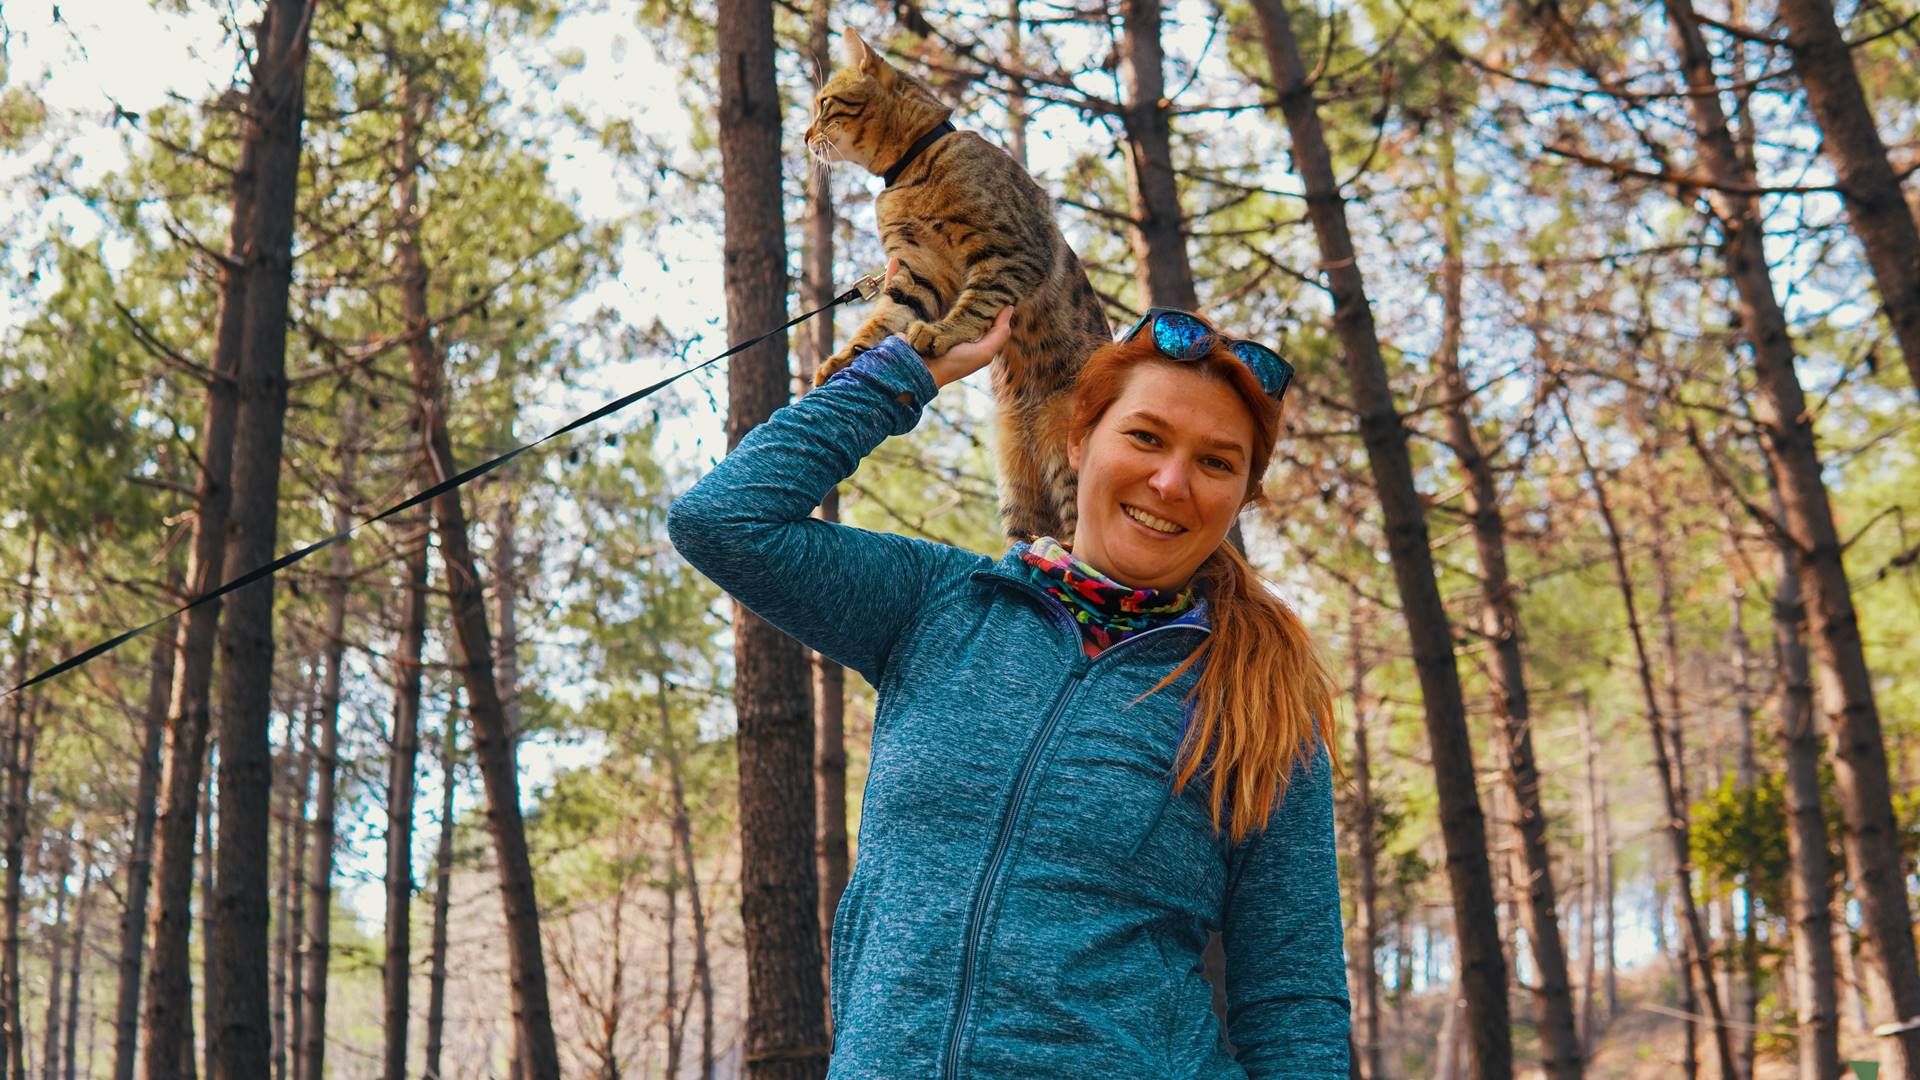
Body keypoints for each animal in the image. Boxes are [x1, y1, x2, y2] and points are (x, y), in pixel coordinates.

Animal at [805, 29, 1111, 546]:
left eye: (824, 103)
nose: (805, 136)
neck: (908, 172)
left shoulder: (1011, 251)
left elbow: (978, 301)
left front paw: (942, 333)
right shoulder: (918, 273)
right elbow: (884, 320)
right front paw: (847, 358)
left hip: (1068, 454)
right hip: (1016, 485)